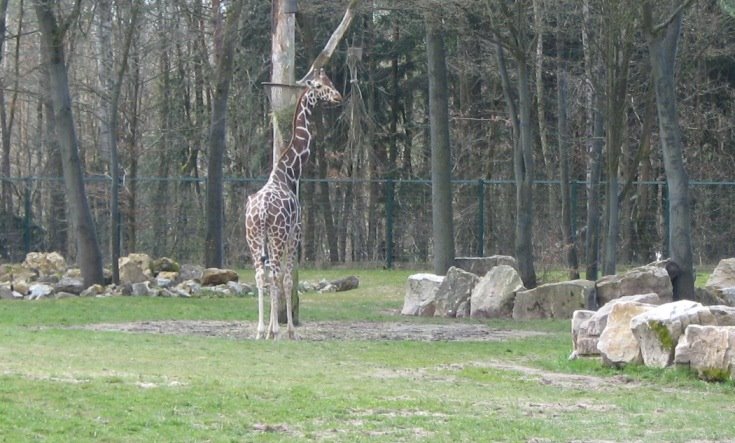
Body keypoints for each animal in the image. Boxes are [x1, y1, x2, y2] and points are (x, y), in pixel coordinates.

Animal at [244, 69, 342, 340]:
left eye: (331, 82)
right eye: (318, 86)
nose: (338, 97)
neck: (289, 173)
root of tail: (261, 211)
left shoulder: (273, 239)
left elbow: (272, 279)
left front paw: (269, 329)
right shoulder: (294, 234)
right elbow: (287, 280)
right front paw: (287, 330)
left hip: (254, 238)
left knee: (260, 275)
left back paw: (259, 331)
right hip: (277, 237)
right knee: (277, 274)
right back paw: (276, 330)